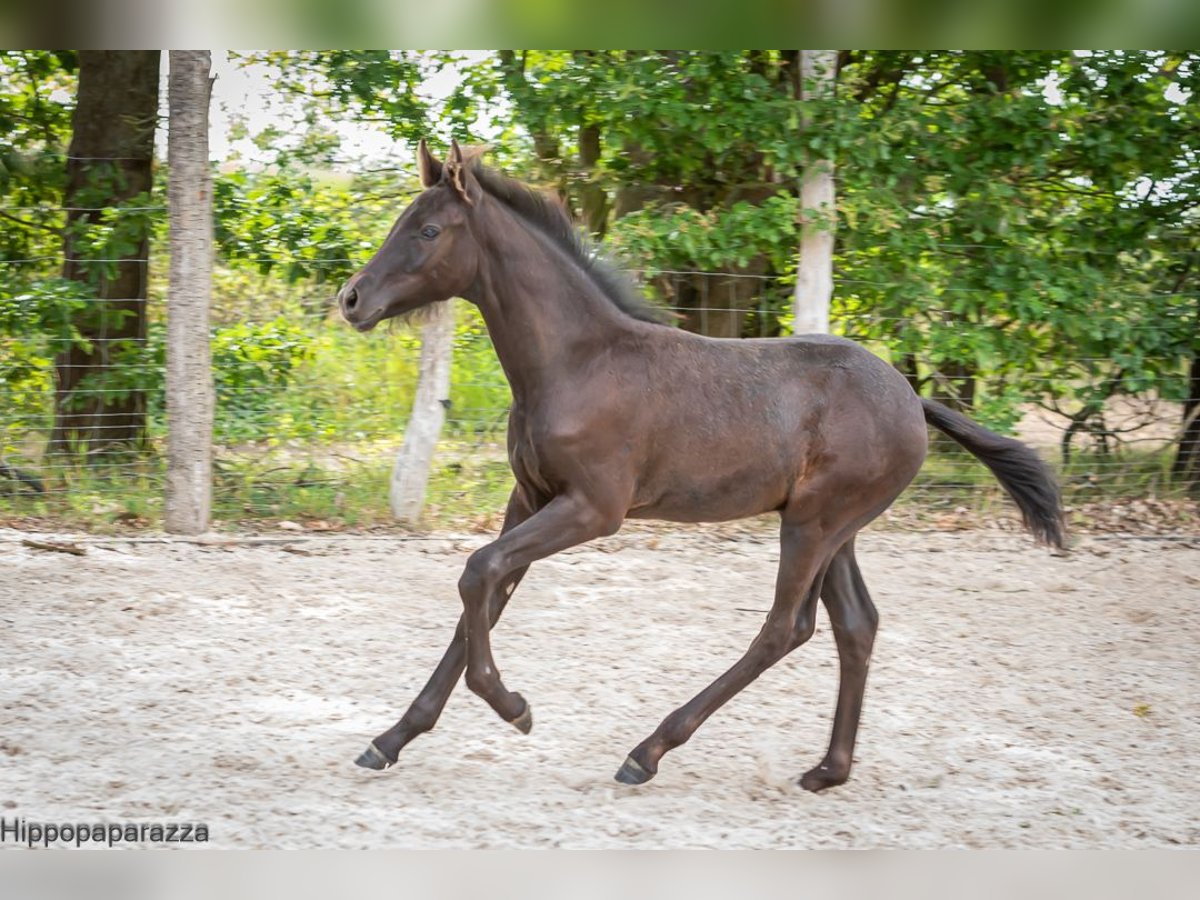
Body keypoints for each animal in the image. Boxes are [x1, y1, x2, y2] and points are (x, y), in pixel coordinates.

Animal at [338, 139, 1060, 787]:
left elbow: (478, 572)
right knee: (855, 625)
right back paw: (827, 770)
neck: (577, 362)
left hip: (814, 524)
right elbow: (482, 597)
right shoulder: (531, 497)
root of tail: (912, 398)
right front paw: (390, 740)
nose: (351, 299)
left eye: (428, 229)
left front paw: (513, 707)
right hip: (837, 528)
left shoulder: (593, 509)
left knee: (784, 628)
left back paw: (648, 751)